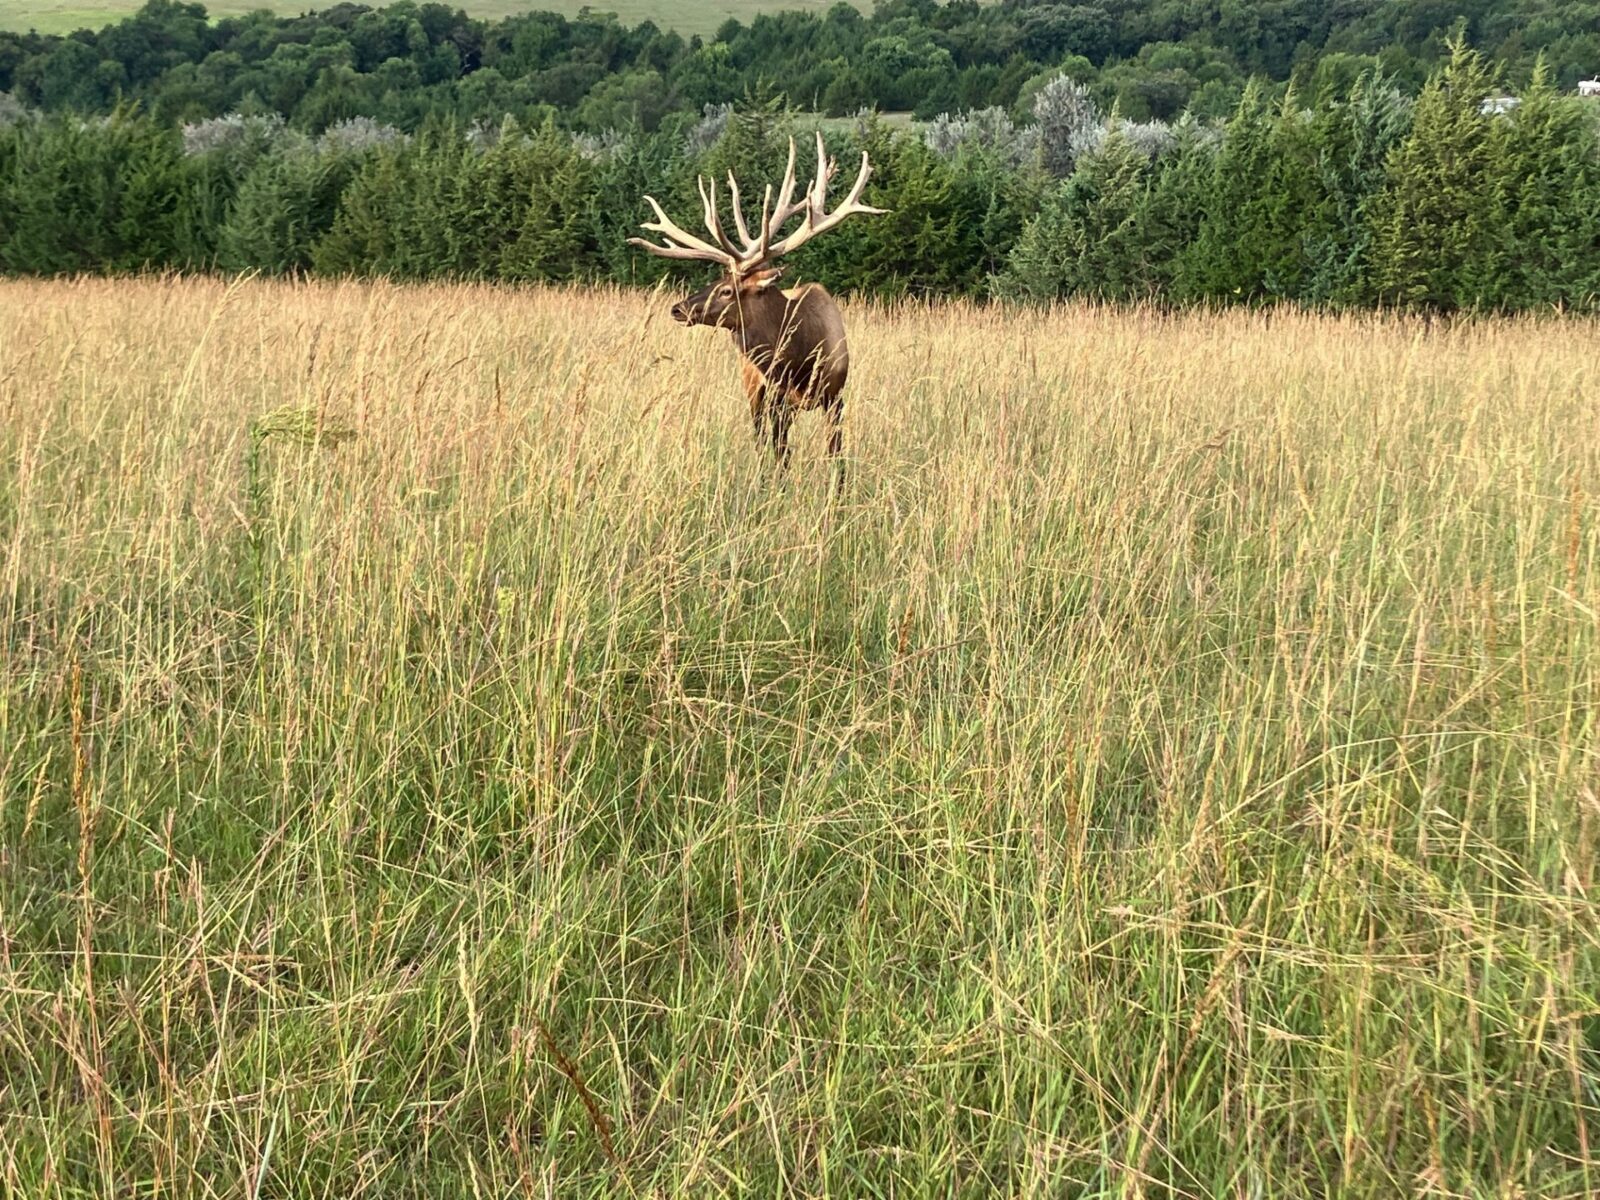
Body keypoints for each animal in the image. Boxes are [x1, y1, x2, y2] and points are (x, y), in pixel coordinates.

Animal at [629, 132, 886, 487]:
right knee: (761, 441)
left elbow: (836, 456)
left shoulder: (835, 396)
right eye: (715, 280)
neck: (801, 356)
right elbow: (781, 455)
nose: (678, 309)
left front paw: (839, 491)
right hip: (753, 391)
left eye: (726, 290)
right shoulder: (776, 397)